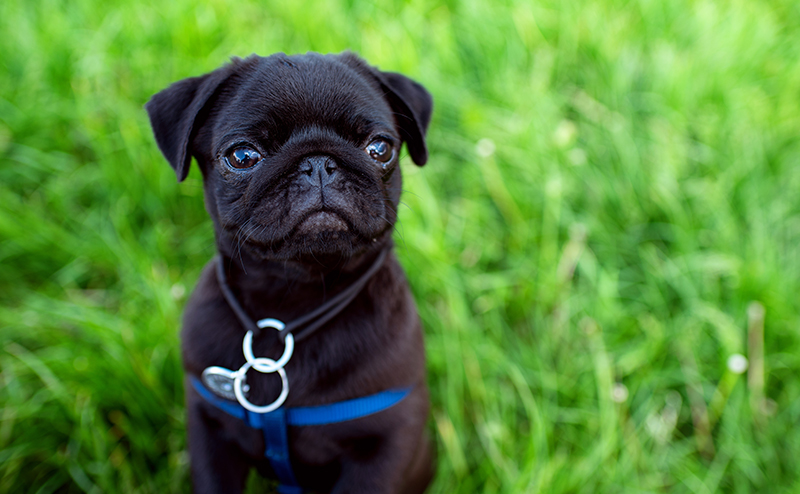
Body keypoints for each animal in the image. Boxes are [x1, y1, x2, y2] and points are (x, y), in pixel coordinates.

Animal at [146, 52, 438, 492]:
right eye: (242, 156)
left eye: (379, 148)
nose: (317, 162)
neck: (292, 295)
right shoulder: (210, 429)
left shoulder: (386, 443)